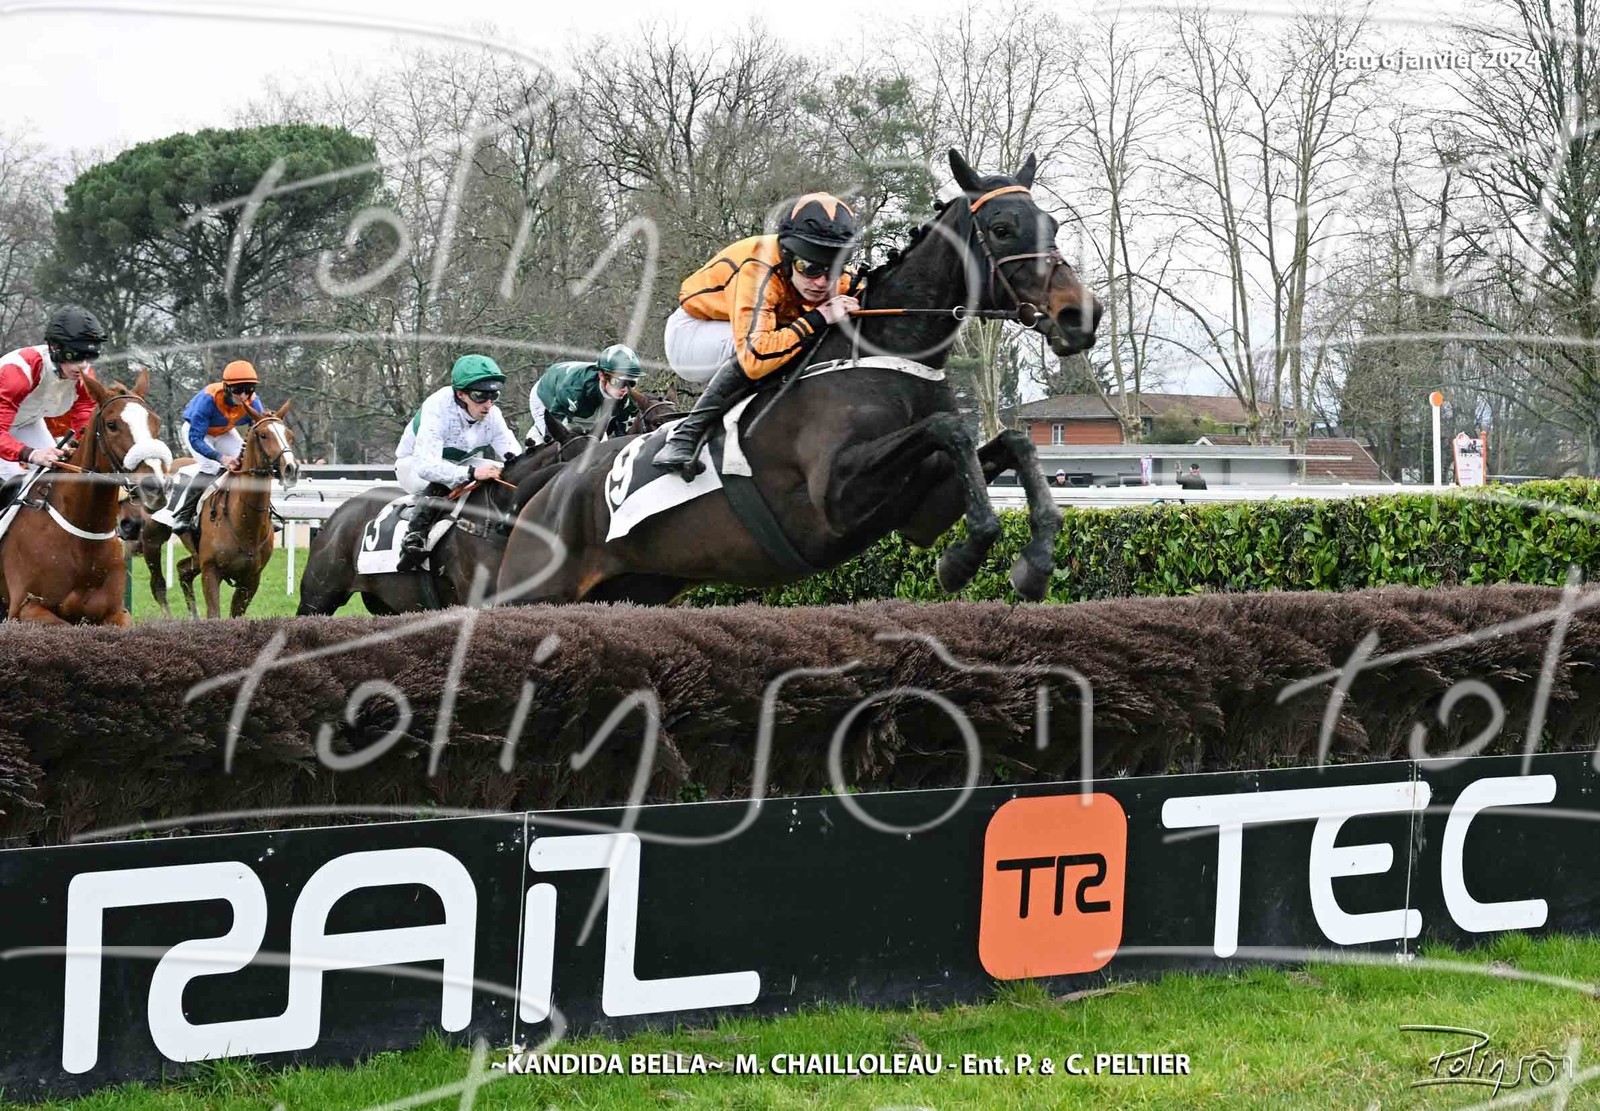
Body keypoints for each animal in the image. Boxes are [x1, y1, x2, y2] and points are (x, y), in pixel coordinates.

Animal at [132, 405, 299, 619]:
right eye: (263, 435)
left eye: (290, 435)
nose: (291, 468)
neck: (244, 522)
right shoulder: (211, 571)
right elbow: (214, 614)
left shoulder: (251, 578)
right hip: (152, 540)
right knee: (158, 585)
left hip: (196, 555)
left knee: (183, 570)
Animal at [494, 149, 1101, 607]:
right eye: (1002, 228)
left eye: (1052, 224)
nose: (1080, 315)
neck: (884, 352)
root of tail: (550, 487)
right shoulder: (831, 497)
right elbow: (948, 429)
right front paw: (965, 561)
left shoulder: (920, 511)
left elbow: (1012, 441)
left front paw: (1032, 562)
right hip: (532, 591)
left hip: (636, 587)